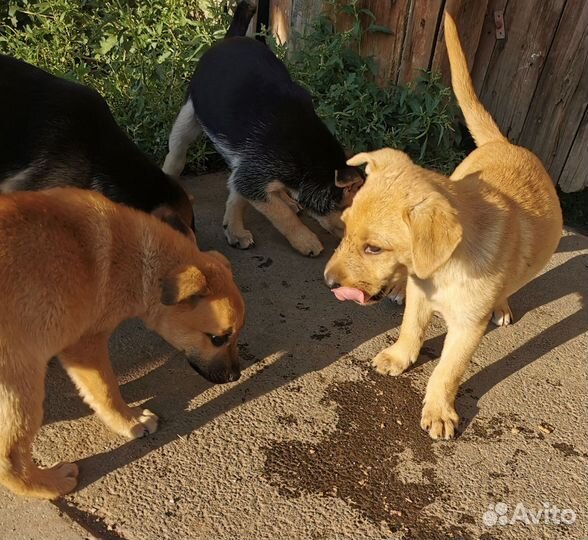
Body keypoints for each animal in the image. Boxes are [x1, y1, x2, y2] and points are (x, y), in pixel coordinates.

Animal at [0, 188, 243, 500]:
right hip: (22, 386)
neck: (138, 259)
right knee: (9, 458)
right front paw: (129, 420)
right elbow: (107, 391)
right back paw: (51, 484)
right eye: (217, 338)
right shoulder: (86, 344)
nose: (235, 376)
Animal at [162, 2, 362, 255]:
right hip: (188, 119)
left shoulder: (247, 171)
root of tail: (231, 38)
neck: (309, 157)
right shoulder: (252, 173)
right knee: (176, 156)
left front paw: (235, 230)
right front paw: (305, 240)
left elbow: (239, 199)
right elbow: (282, 215)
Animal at [324, 12, 564, 440]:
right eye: (346, 227)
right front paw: (400, 357)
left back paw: (502, 305)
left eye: (374, 248)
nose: (328, 283)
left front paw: (438, 409)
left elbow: (447, 371)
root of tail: (506, 142)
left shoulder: (467, 328)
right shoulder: (420, 296)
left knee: (513, 283)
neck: (442, 272)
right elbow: (411, 329)